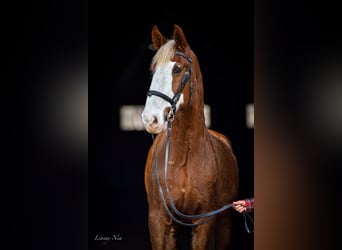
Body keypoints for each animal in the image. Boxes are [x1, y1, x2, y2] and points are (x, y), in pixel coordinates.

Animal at [140, 23, 239, 250]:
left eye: (177, 69)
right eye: (153, 70)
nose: (150, 119)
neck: (183, 155)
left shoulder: (203, 221)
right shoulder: (158, 219)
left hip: (224, 223)